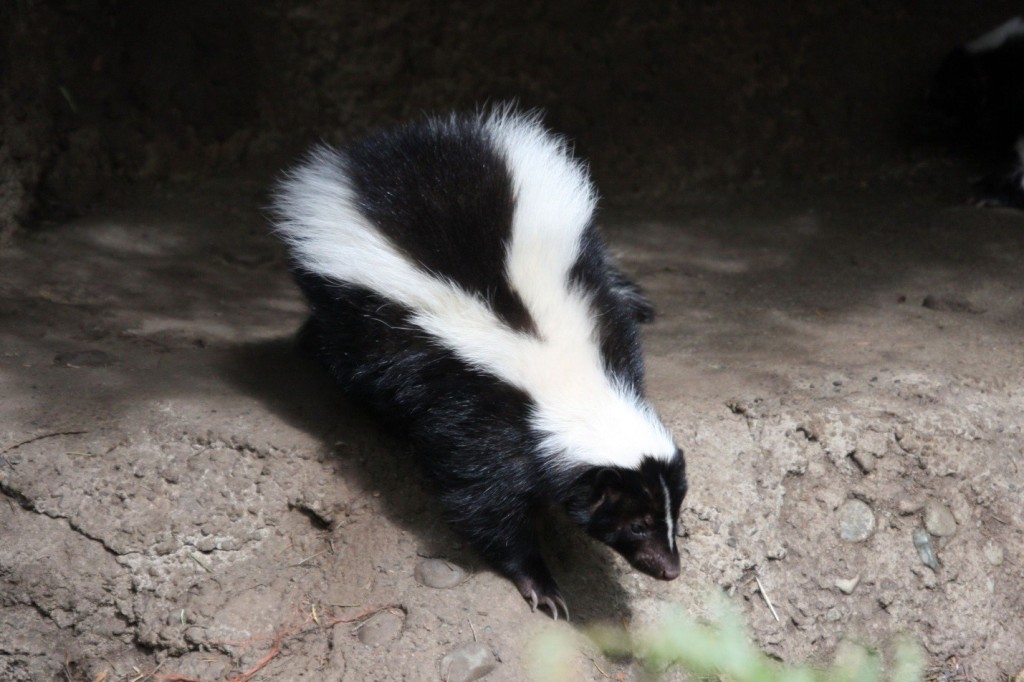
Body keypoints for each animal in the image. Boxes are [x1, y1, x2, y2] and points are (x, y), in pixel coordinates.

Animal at [272, 104, 688, 614]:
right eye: (635, 524)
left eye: (673, 512)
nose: (669, 568)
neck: (560, 366)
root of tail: (392, 145)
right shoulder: (476, 414)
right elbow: (480, 503)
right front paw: (540, 584)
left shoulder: (605, 326)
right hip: (351, 310)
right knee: (343, 350)